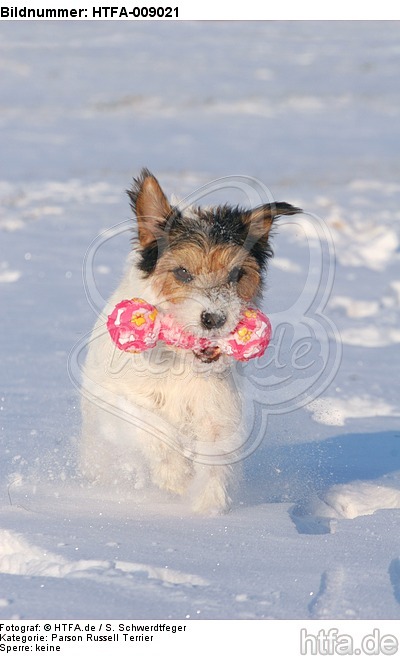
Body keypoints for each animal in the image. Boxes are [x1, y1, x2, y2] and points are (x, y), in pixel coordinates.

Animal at [79, 170, 302, 516]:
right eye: (182, 272)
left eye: (237, 274)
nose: (214, 318)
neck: (180, 361)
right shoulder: (119, 400)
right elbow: (152, 429)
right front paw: (176, 476)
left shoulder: (217, 413)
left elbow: (215, 459)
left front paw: (208, 506)